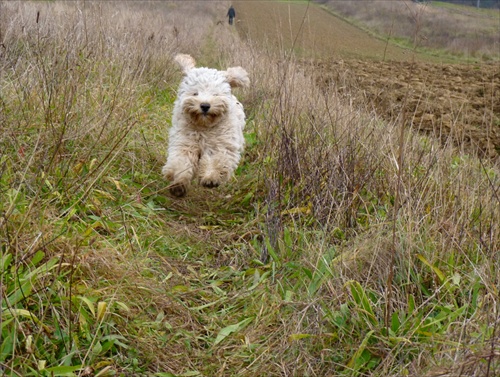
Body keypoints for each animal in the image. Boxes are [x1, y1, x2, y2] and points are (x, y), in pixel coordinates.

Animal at [162, 55, 250, 198]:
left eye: (215, 94)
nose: (205, 105)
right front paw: (178, 183)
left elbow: (215, 160)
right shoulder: (185, 142)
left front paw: (211, 178)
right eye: (195, 93)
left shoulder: (220, 144)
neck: (204, 126)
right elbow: (181, 161)